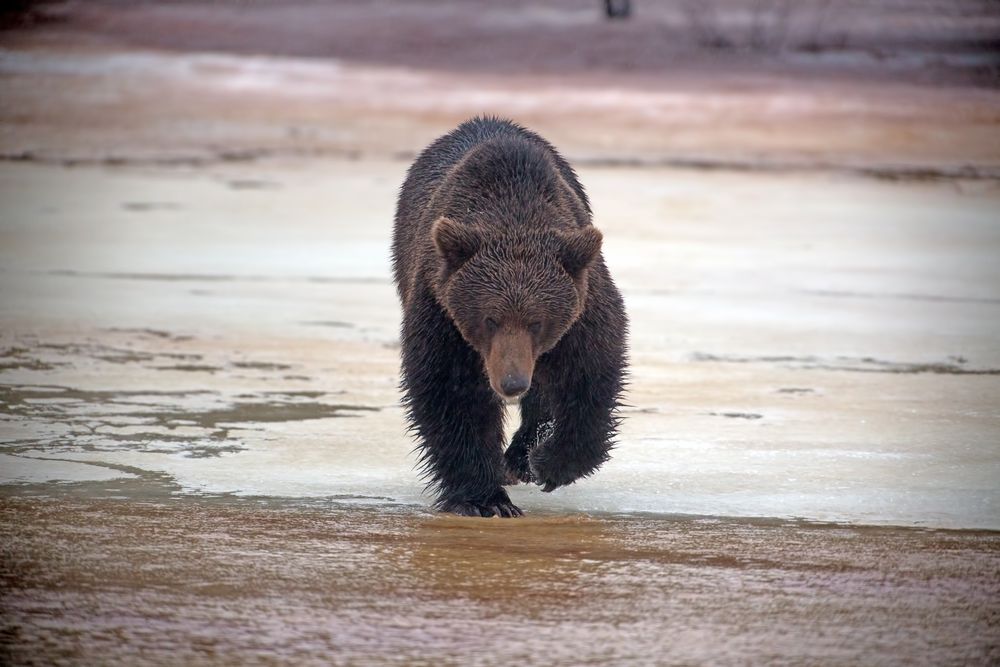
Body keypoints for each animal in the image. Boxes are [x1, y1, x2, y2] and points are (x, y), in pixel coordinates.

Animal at [390, 117, 624, 520]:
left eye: (537, 322)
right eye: (489, 319)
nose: (512, 382)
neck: (513, 213)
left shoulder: (581, 309)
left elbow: (589, 375)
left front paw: (548, 463)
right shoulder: (441, 310)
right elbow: (450, 392)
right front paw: (484, 499)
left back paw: (519, 457)